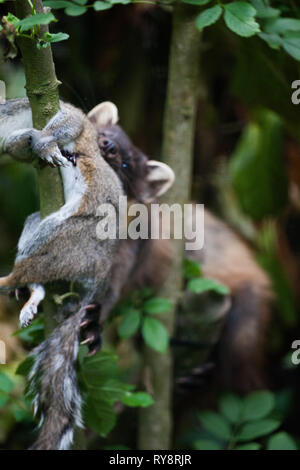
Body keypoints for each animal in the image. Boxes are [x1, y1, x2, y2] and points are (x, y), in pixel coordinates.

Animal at [88, 103, 272, 392]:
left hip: (244, 320)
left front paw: (92, 327)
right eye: (104, 132)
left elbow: (109, 293)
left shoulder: (127, 257)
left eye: (127, 164)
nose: (109, 146)